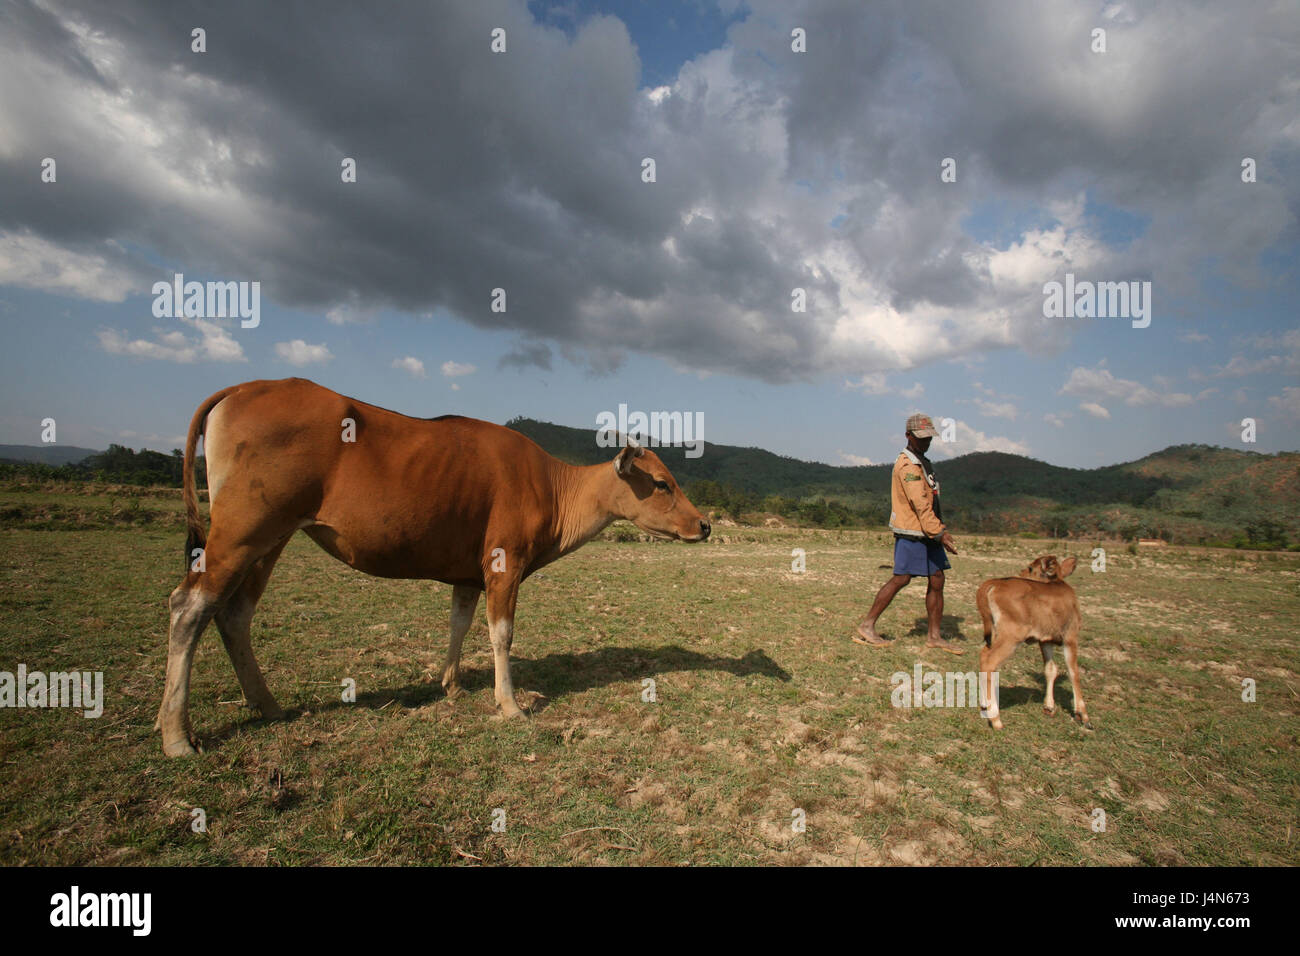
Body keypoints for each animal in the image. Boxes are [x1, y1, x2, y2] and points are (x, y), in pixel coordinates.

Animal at [154, 377, 712, 759]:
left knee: (234, 615)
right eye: (662, 483)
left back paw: (266, 705)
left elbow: (459, 625)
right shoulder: (504, 564)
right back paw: (177, 735)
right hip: (241, 532)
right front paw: (510, 705)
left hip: (270, 538)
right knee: (190, 606)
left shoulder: (467, 576)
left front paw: (452, 684)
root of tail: (246, 386)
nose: (704, 524)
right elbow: (501, 633)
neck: (552, 486)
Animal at [977, 554, 1086, 733]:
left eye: (1030, 568)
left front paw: (1049, 707)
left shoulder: (1045, 640)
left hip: (994, 632)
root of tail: (994, 583)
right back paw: (996, 718)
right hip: (1011, 636)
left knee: (985, 656)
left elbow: (1051, 669)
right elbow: (1073, 672)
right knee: (989, 662)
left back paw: (985, 705)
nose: (1021, 572)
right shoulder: (1070, 636)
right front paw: (1082, 714)